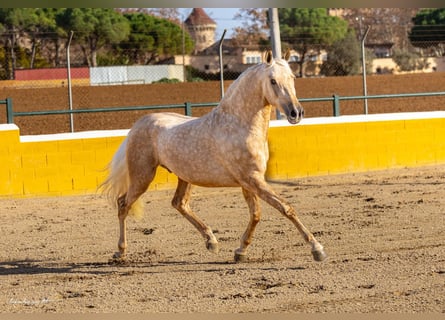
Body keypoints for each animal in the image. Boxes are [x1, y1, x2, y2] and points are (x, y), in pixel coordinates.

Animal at [100, 50, 326, 262]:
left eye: (292, 77)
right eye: (272, 80)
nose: (296, 113)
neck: (239, 125)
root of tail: (139, 124)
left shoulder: (249, 181)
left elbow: (255, 215)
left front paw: (240, 251)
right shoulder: (252, 179)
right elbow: (285, 208)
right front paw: (317, 249)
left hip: (185, 177)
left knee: (179, 204)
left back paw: (211, 241)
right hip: (143, 176)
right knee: (123, 204)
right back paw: (120, 252)